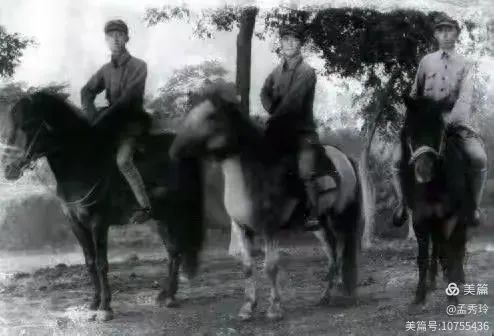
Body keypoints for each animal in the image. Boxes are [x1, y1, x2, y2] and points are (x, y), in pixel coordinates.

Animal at [170, 80, 366, 322]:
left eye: (211, 116)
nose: (175, 150)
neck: (254, 175)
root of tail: (343, 157)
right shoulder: (241, 228)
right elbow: (247, 267)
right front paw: (247, 308)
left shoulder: (269, 229)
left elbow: (270, 267)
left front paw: (274, 309)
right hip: (320, 226)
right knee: (332, 256)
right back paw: (325, 297)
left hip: (340, 219)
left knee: (341, 252)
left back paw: (344, 294)